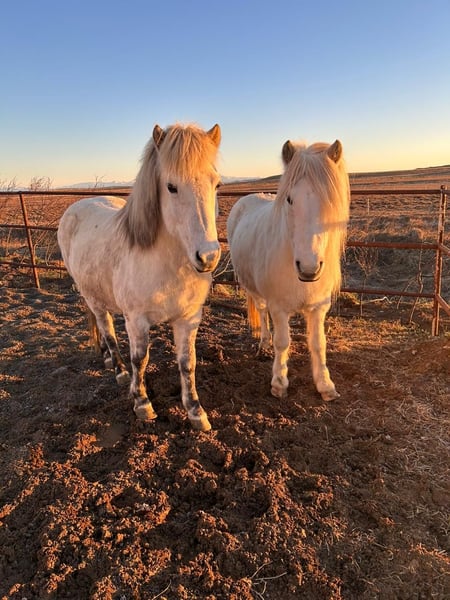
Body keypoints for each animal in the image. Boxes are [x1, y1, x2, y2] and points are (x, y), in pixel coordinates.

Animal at [57, 122, 222, 431]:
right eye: (171, 186)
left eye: (216, 184)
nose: (208, 257)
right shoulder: (136, 320)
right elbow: (140, 359)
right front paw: (142, 402)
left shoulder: (188, 319)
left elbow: (188, 363)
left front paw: (195, 411)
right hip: (91, 296)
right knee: (107, 329)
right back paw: (119, 370)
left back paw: (107, 359)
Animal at [227, 138, 350, 401]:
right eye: (290, 199)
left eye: (330, 201)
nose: (309, 268)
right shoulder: (279, 307)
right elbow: (282, 341)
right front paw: (279, 382)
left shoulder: (318, 308)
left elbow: (318, 343)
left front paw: (325, 385)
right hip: (252, 288)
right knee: (262, 313)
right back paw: (263, 345)